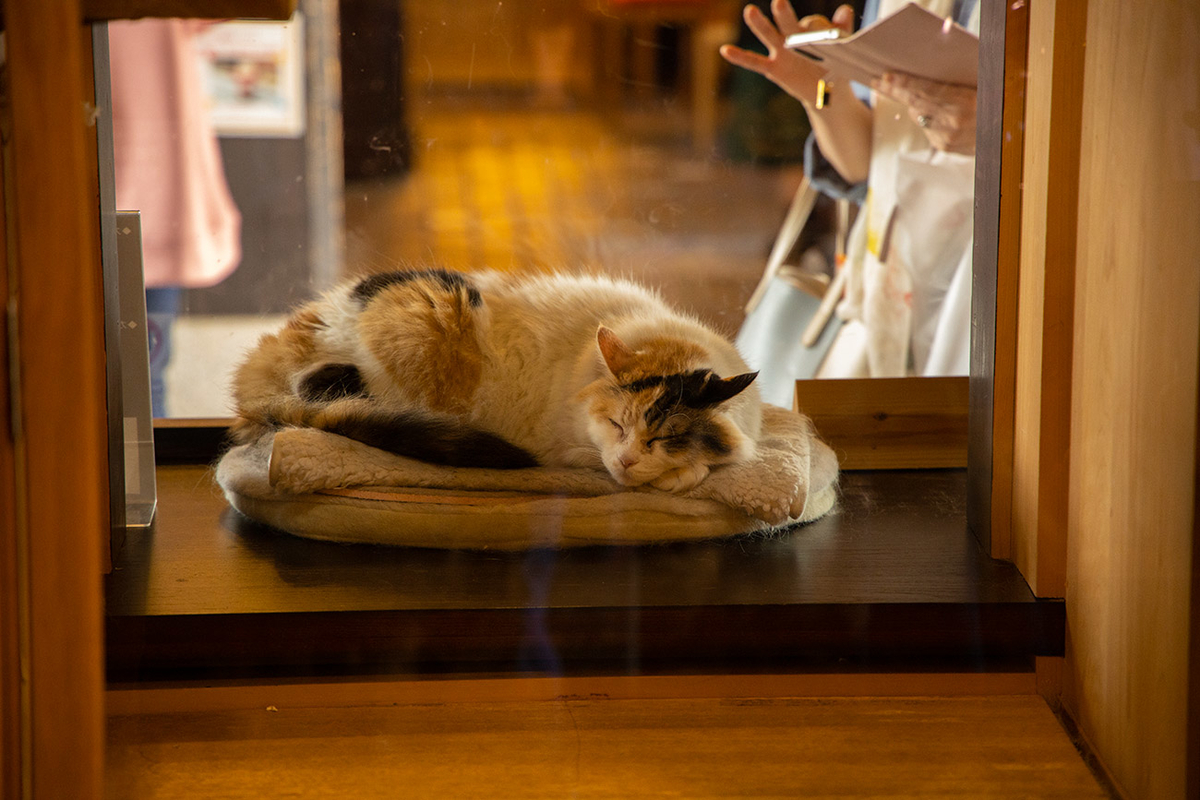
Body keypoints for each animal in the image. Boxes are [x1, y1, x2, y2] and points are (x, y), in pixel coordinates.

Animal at [229, 268, 763, 494]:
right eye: (616, 425)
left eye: (665, 438)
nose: (629, 458)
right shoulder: (569, 448)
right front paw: (679, 476)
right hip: (435, 313)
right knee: (321, 391)